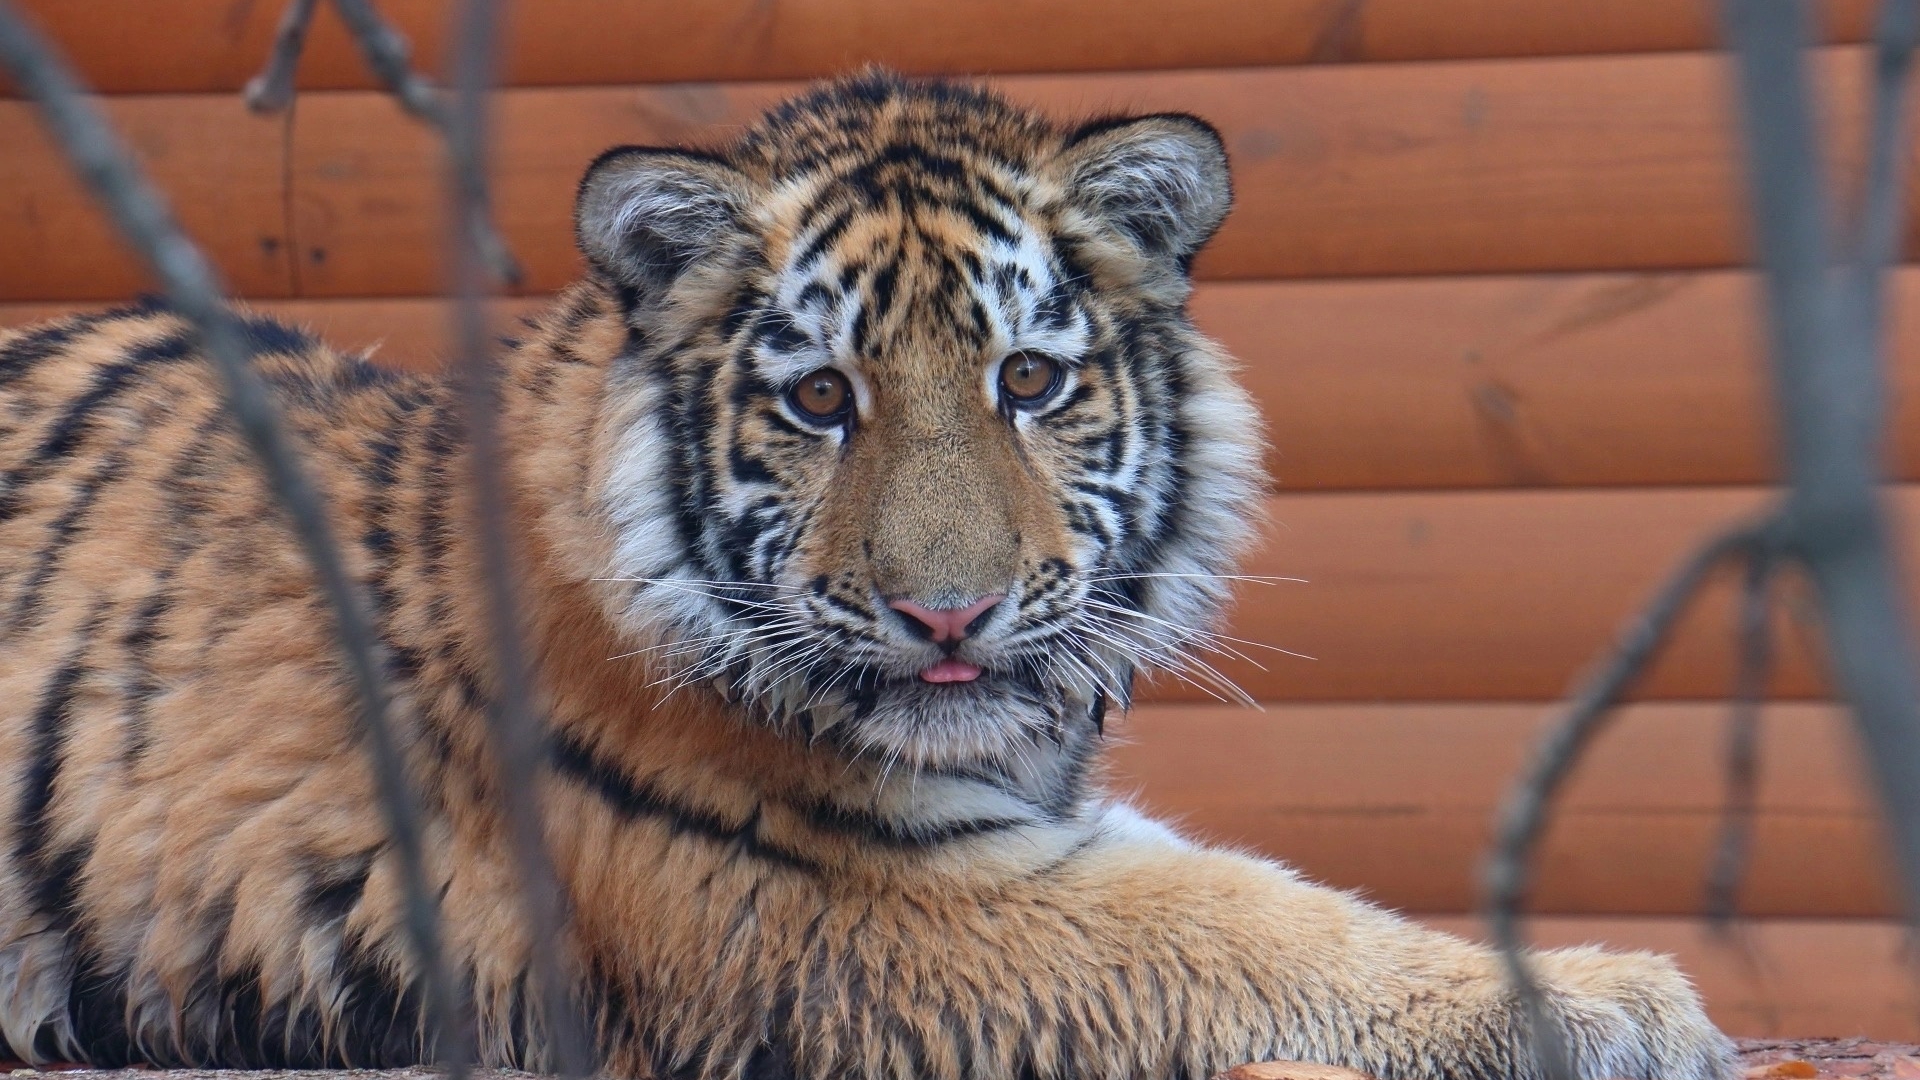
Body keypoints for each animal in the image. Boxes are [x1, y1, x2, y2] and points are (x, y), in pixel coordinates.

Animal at [0, 75, 1735, 1076]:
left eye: (1028, 381)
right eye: (822, 398)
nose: (946, 613)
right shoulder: (870, 901)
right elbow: (1252, 922)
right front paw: (1621, 1001)